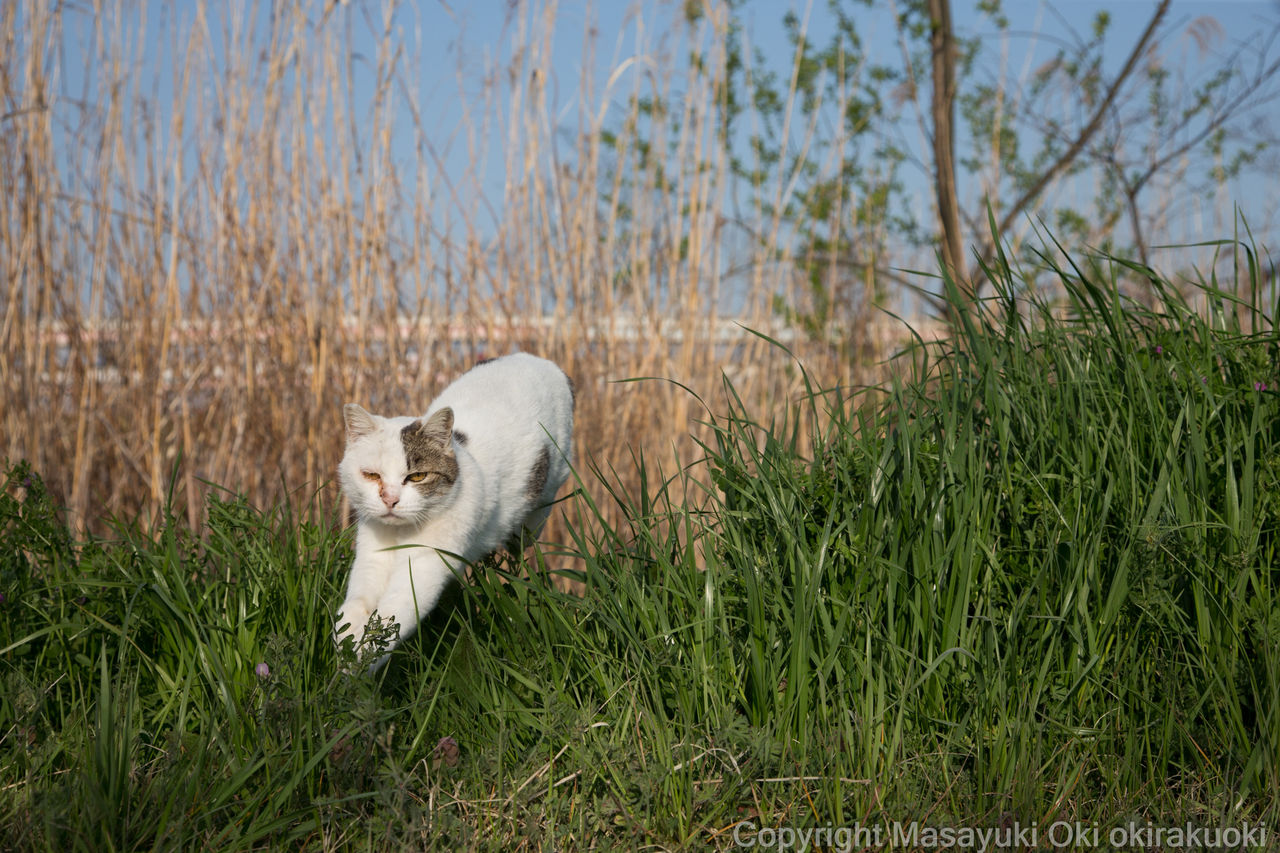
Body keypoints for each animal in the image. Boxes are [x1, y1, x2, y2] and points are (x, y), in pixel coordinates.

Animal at [335, 352, 574, 671]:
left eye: (418, 476)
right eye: (372, 476)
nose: (390, 499)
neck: (401, 533)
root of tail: (538, 358)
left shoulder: (424, 566)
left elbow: (391, 619)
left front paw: (359, 667)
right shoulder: (372, 556)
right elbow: (354, 608)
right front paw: (346, 650)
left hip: (536, 514)